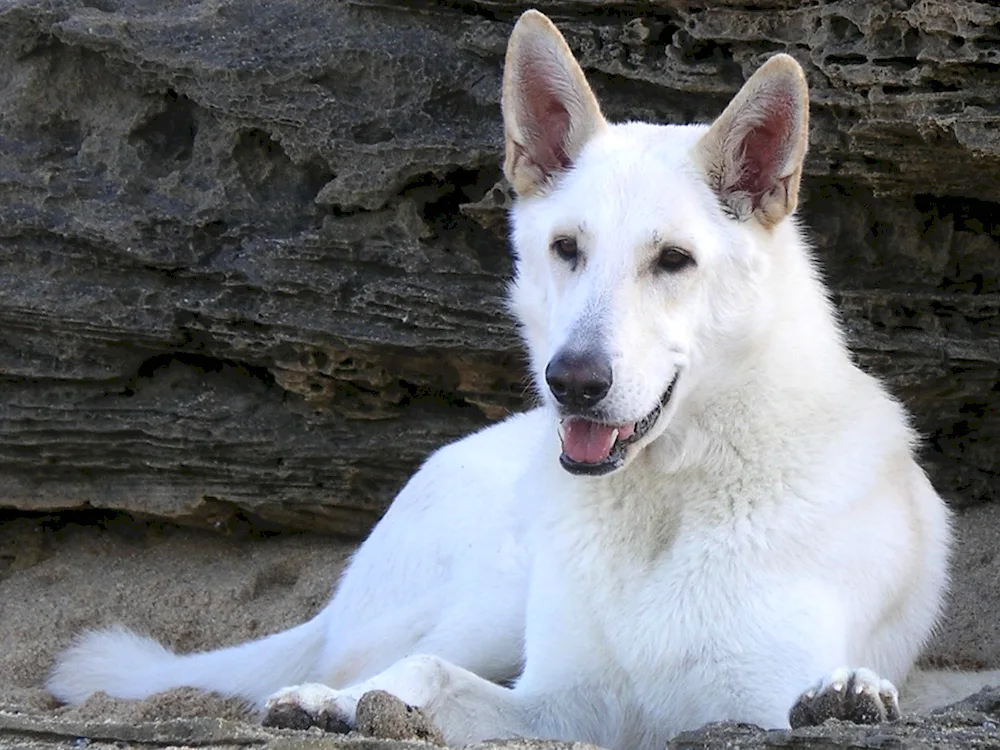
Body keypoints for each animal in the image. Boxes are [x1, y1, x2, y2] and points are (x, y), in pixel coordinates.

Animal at [48, 8, 1000, 748]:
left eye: (674, 260)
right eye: (566, 248)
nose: (572, 381)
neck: (665, 501)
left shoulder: (746, 700)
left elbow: (812, 696)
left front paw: (847, 696)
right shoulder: (569, 701)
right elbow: (439, 680)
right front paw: (361, 706)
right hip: (496, 595)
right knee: (399, 661)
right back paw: (332, 702)